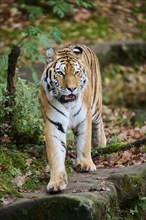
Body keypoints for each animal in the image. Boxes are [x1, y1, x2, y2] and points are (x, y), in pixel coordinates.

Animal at [40, 44, 106, 192]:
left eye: (76, 73)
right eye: (60, 73)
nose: (72, 88)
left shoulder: (85, 118)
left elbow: (84, 143)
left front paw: (85, 164)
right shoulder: (54, 123)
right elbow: (55, 153)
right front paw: (56, 182)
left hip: (95, 106)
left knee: (99, 121)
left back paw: (100, 142)